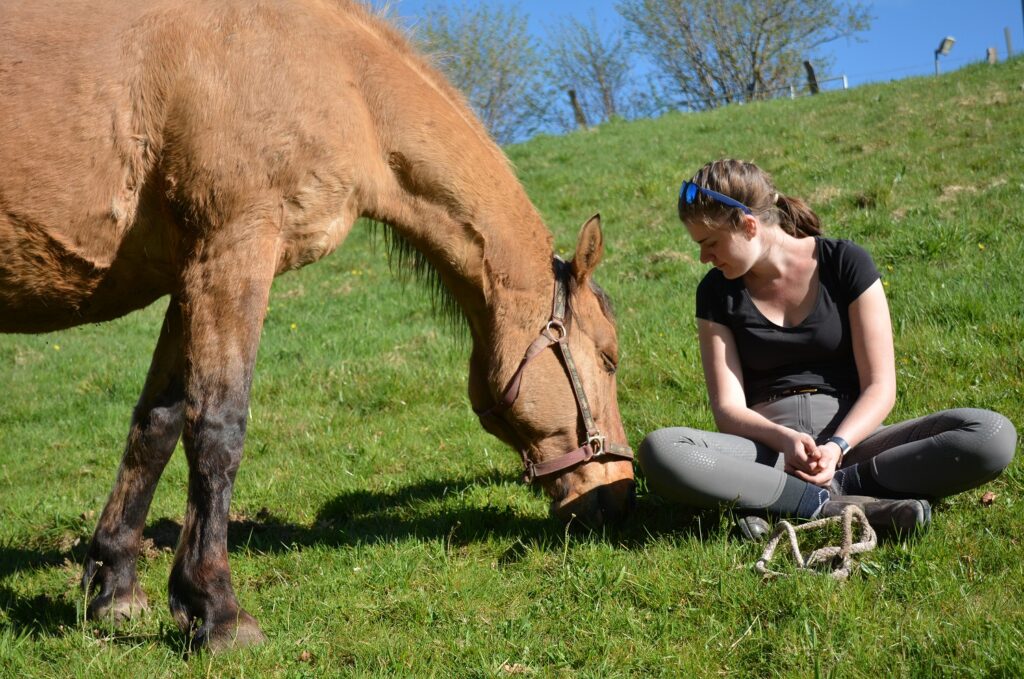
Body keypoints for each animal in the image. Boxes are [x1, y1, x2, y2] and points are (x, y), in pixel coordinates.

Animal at [0, 0, 635, 650]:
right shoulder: (232, 253)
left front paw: (115, 589)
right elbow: (217, 428)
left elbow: (158, 424)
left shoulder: (190, 278)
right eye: (609, 358)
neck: (339, 78)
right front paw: (216, 609)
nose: (622, 492)